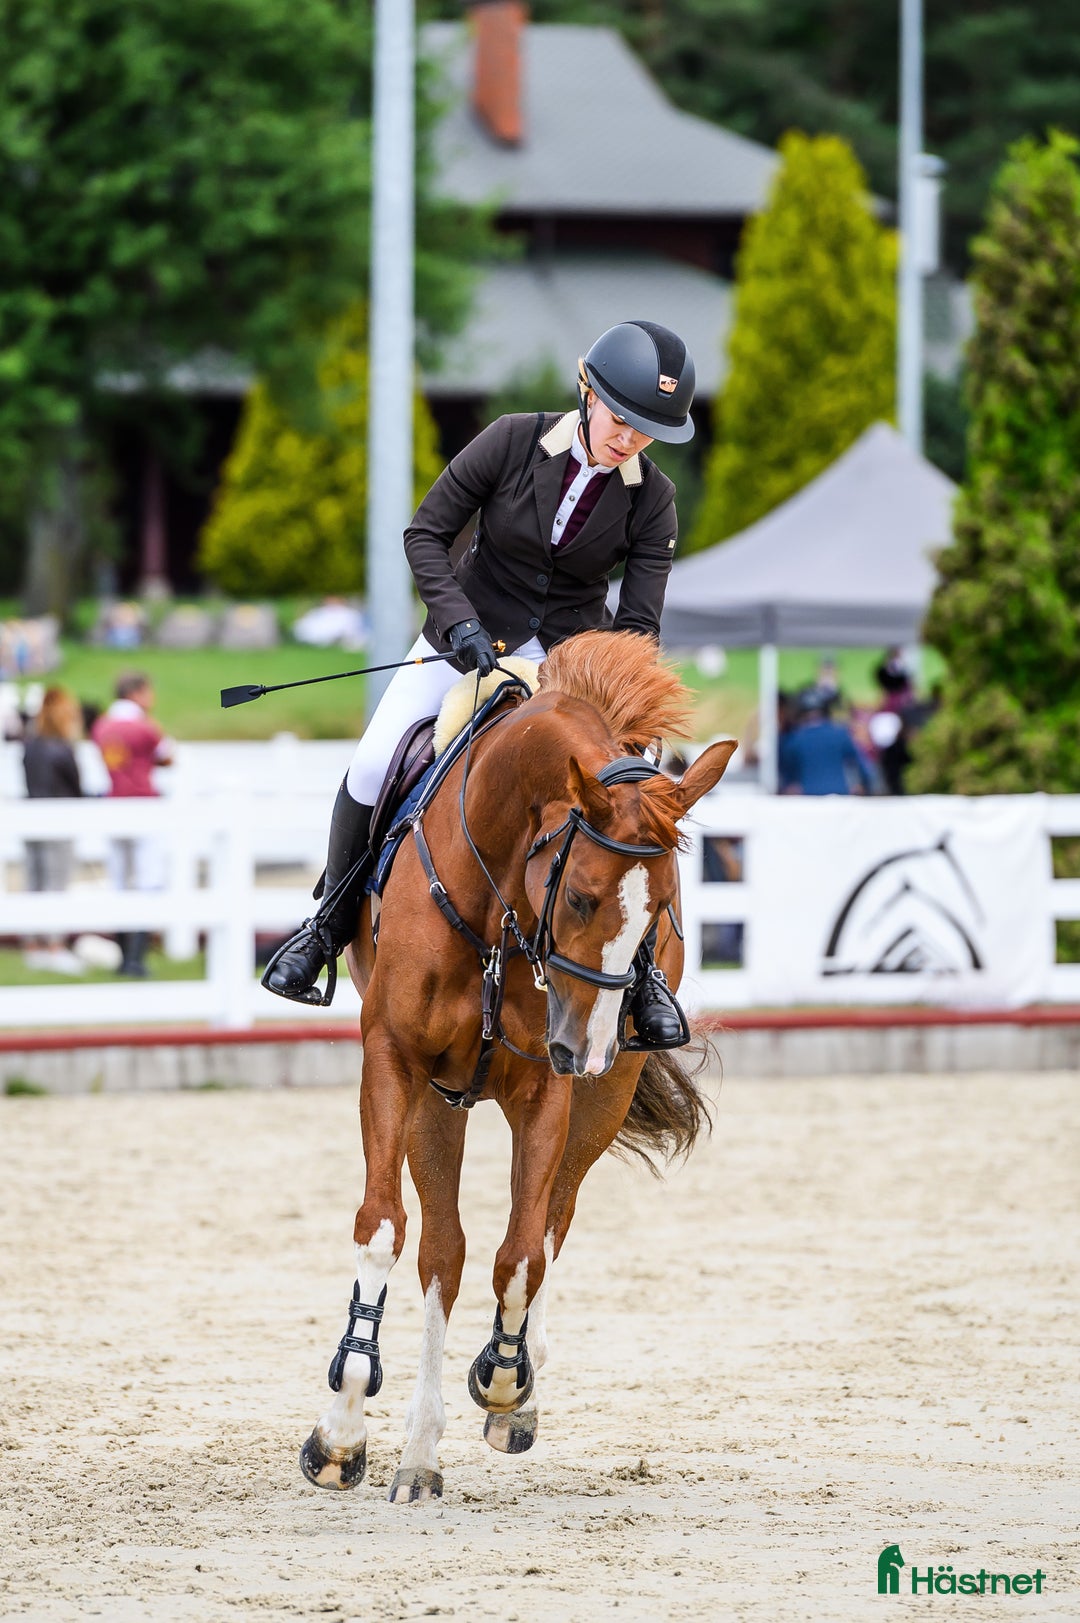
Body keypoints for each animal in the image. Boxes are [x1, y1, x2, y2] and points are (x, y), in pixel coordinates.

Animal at [299, 629, 737, 1502]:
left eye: (660, 911)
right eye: (581, 898)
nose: (588, 1049)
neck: (498, 894)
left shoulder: (546, 1087)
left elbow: (524, 1253)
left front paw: (504, 1381)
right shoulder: (395, 1060)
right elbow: (384, 1229)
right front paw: (340, 1434)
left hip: (595, 1103)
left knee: (546, 1226)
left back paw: (501, 1400)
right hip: (439, 1099)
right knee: (443, 1250)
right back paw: (416, 1454)